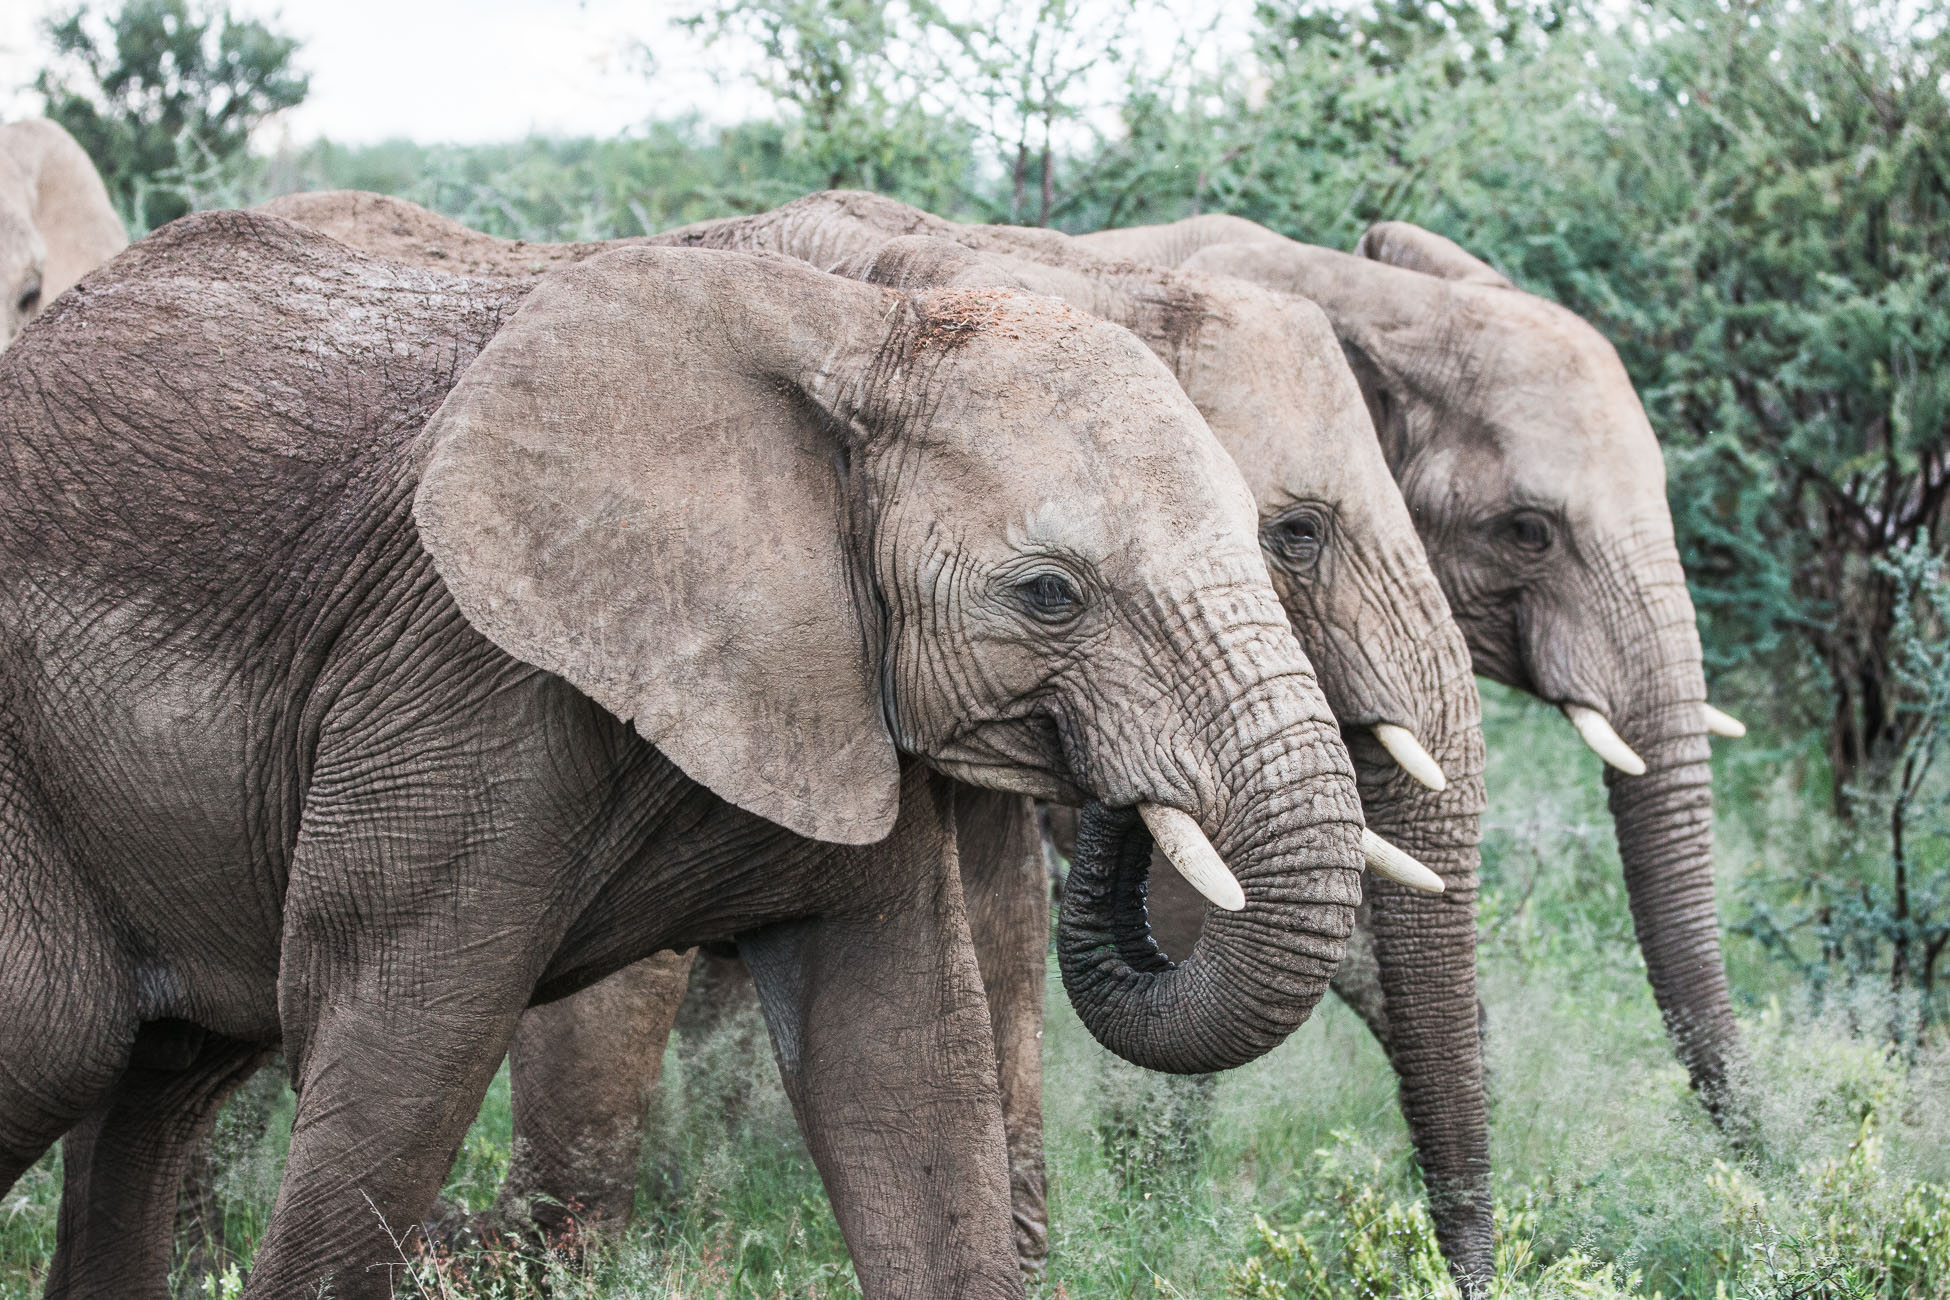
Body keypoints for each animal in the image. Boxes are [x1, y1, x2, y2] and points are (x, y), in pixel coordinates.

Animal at [0, 208, 1380, 1294]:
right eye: (1048, 594)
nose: (1114, 796)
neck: (864, 333)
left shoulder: (829, 687)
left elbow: (903, 1059)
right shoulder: (460, 674)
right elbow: (394, 1043)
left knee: (159, 1085)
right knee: (61, 1036)